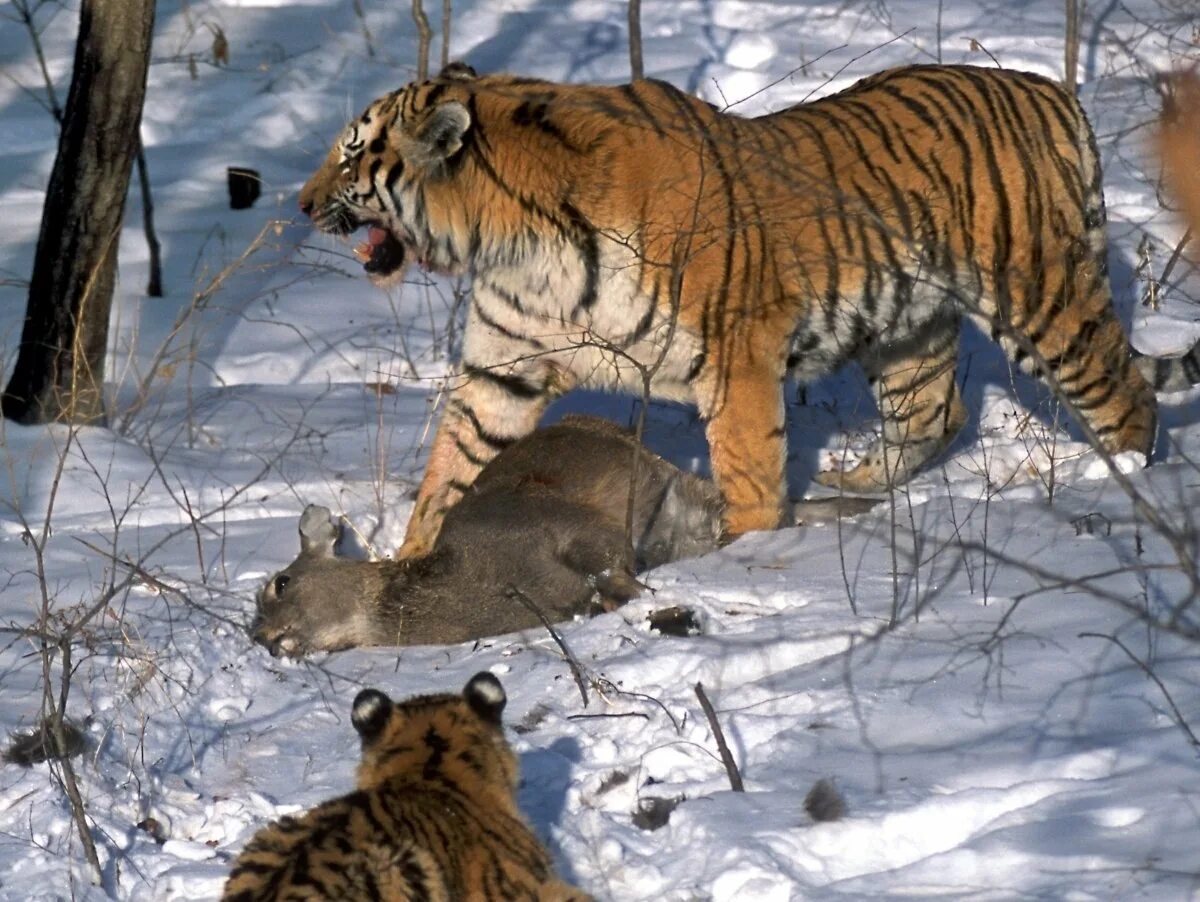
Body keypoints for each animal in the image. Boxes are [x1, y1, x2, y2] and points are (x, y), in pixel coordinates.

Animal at [297, 61, 1200, 556]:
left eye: (351, 152)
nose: (301, 204)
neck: (510, 243)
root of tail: (1049, 88)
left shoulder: (736, 353)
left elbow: (748, 469)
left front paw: (743, 553)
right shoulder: (504, 367)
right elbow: (451, 469)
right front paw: (409, 567)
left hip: (1039, 295)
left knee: (1127, 397)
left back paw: (1125, 490)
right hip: (909, 323)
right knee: (935, 413)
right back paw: (857, 482)